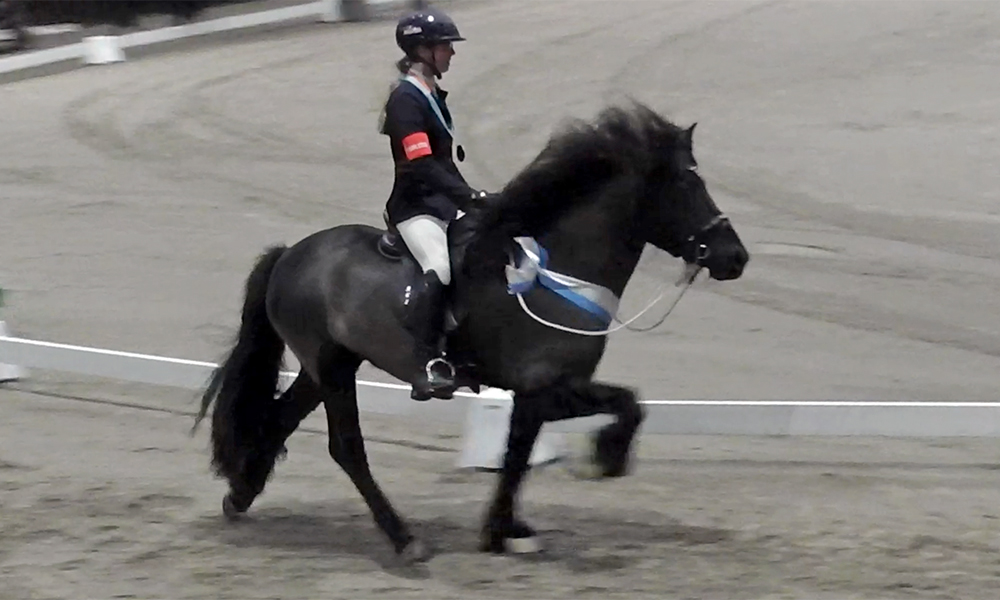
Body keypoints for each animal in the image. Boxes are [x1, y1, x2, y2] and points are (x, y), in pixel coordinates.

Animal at [195, 102, 748, 564]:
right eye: (686, 187)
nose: (735, 258)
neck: (560, 272)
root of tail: (290, 254)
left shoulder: (540, 394)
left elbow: (523, 455)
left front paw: (510, 530)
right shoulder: (548, 387)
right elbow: (611, 413)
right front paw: (602, 462)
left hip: (326, 366)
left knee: (279, 419)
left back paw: (239, 496)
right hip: (330, 368)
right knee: (346, 447)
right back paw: (404, 539)